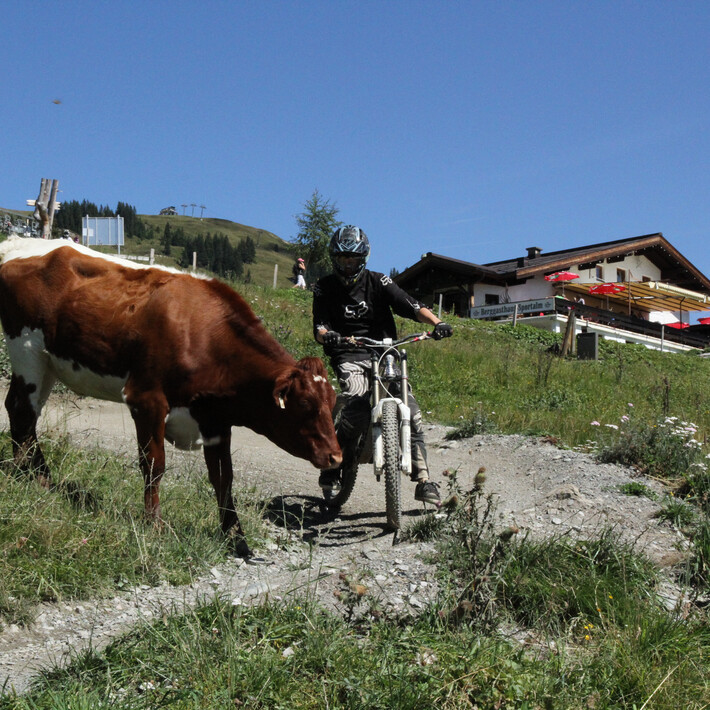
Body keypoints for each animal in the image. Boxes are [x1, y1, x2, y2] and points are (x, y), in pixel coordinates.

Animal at [0, 236, 341, 557]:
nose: (336, 457)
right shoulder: (146, 400)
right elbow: (154, 465)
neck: (203, 335)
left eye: (333, 403)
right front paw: (154, 525)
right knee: (21, 409)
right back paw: (31, 477)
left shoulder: (215, 421)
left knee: (26, 412)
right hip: (26, 351)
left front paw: (236, 539)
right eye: (305, 404)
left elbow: (224, 478)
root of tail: (18, 243)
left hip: (47, 363)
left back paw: (37, 475)